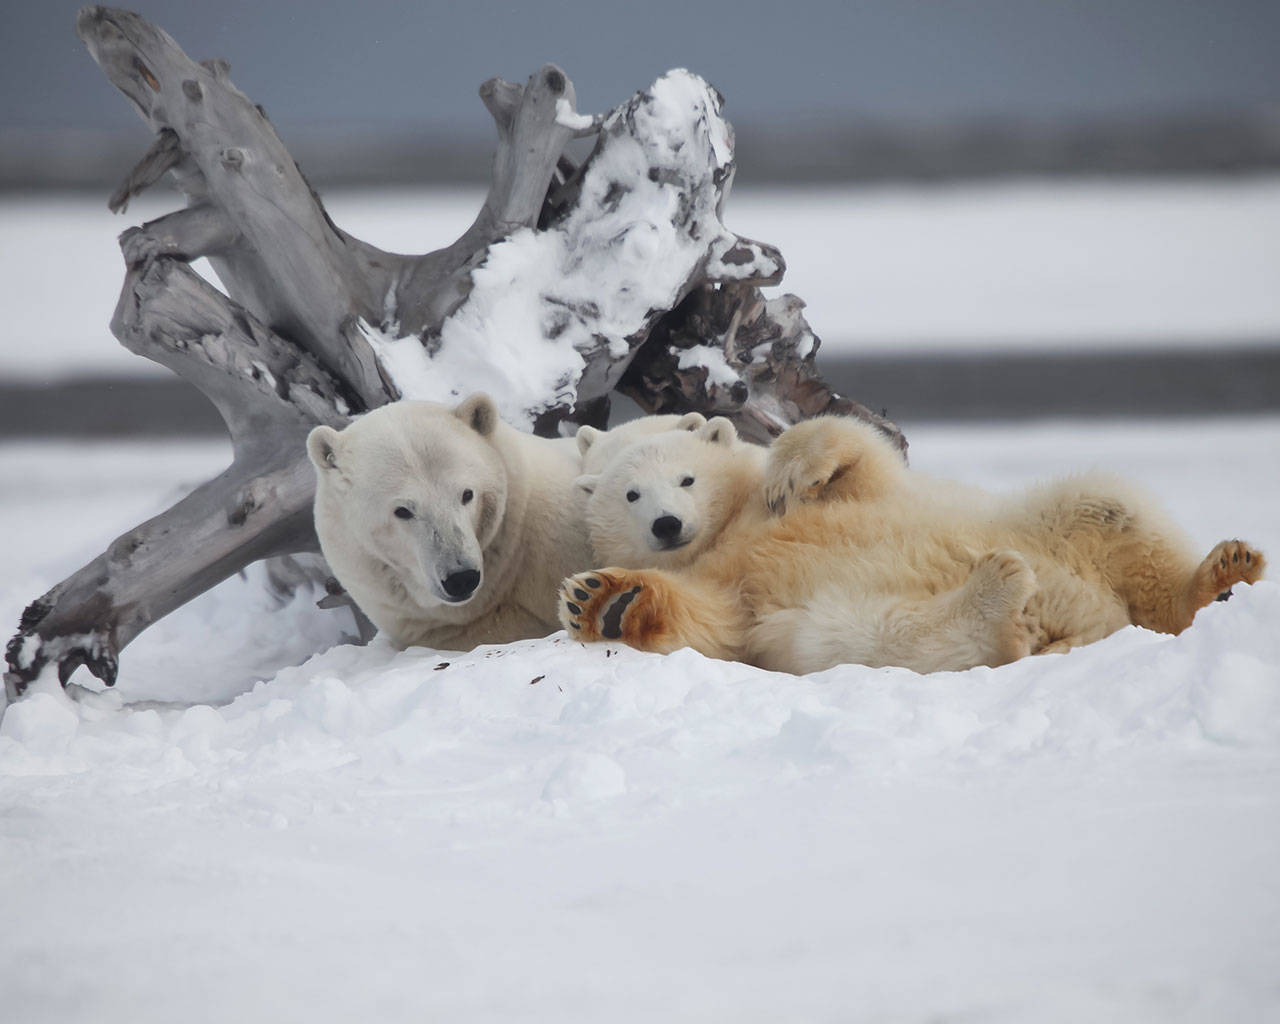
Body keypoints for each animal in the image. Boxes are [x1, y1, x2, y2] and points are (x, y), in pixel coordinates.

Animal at [559, 415, 1265, 674]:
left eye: (685, 478)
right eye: (630, 494)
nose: (667, 524)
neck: (731, 525)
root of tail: (1096, 623)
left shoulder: (840, 498)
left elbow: (856, 452)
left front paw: (793, 470)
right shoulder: (729, 583)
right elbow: (711, 623)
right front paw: (604, 600)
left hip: (1052, 523)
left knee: (1108, 508)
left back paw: (1220, 574)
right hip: (829, 623)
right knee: (868, 636)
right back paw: (1000, 602)